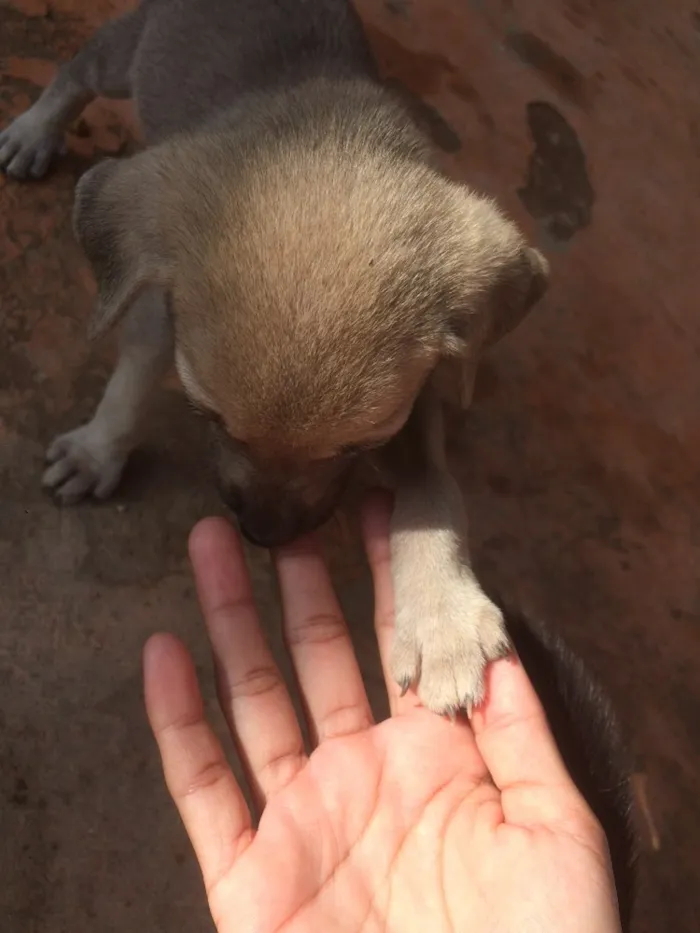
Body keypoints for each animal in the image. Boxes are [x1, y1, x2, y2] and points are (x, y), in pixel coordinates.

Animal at [0, 0, 548, 712]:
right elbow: (129, 385)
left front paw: (442, 617)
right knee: (79, 67)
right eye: (207, 416)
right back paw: (34, 130)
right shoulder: (157, 306)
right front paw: (97, 452)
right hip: (129, 55)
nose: (264, 533)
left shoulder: (419, 402)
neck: (327, 138)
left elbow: (434, 493)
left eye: (360, 445)